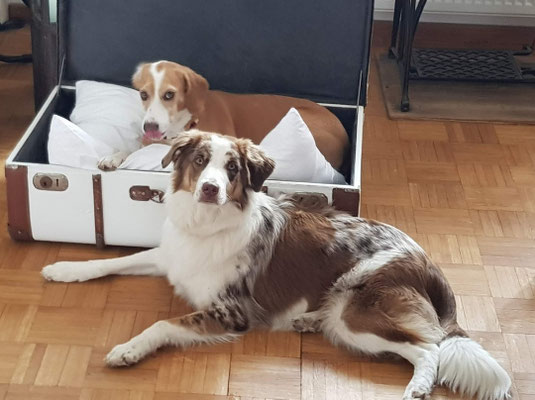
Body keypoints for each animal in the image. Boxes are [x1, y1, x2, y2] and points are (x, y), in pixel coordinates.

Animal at [45, 131, 510, 400]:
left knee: (428, 348)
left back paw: (417, 387)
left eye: (233, 169)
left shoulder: (230, 313)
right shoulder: (170, 256)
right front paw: (63, 268)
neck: (206, 226)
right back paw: (306, 320)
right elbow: (116, 260)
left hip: (354, 311)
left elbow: (161, 324)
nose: (211, 189)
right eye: (199, 162)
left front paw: (127, 349)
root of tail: (427, 261)